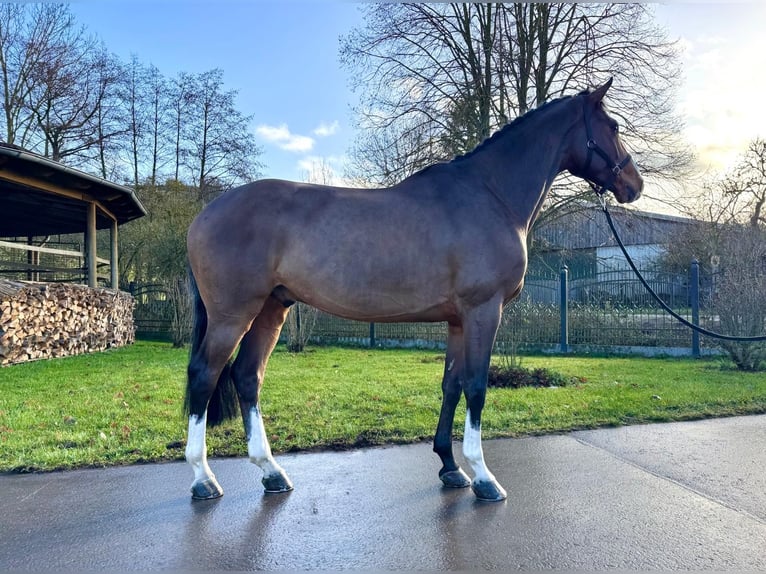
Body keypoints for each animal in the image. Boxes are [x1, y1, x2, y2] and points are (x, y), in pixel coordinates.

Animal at [184, 77, 640, 504]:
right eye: (613, 126)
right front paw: (483, 477)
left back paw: (271, 472)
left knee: (247, 376)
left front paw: (450, 467)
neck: (491, 195)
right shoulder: (483, 311)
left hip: (271, 309)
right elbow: (477, 386)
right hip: (232, 315)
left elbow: (451, 385)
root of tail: (204, 214)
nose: (634, 185)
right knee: (204, 376)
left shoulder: (458, 320)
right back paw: (203, 478)